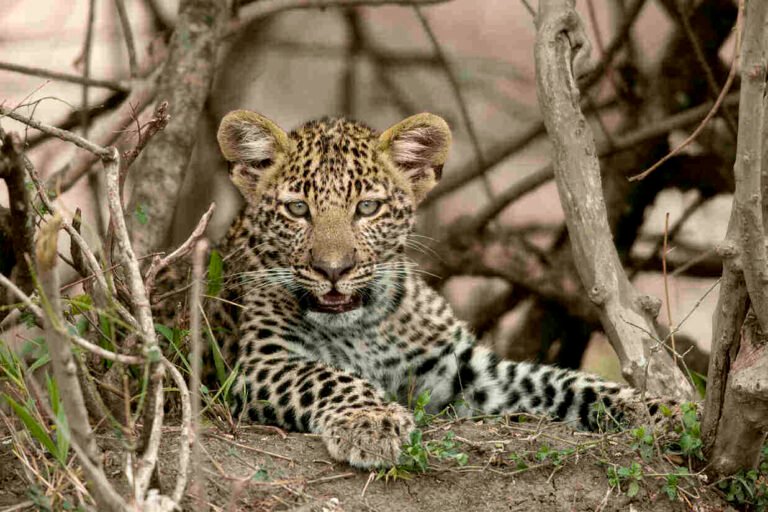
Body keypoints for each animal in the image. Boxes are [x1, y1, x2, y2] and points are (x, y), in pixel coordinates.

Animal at [197, 110, 654, 469]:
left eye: (367, 208)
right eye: (297, 209)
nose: (333, 270)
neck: (360, 327)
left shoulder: (466, 370)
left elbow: (551, 380)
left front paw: (649, 407)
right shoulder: (258, 364)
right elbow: (325, 376)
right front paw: (371, 420)